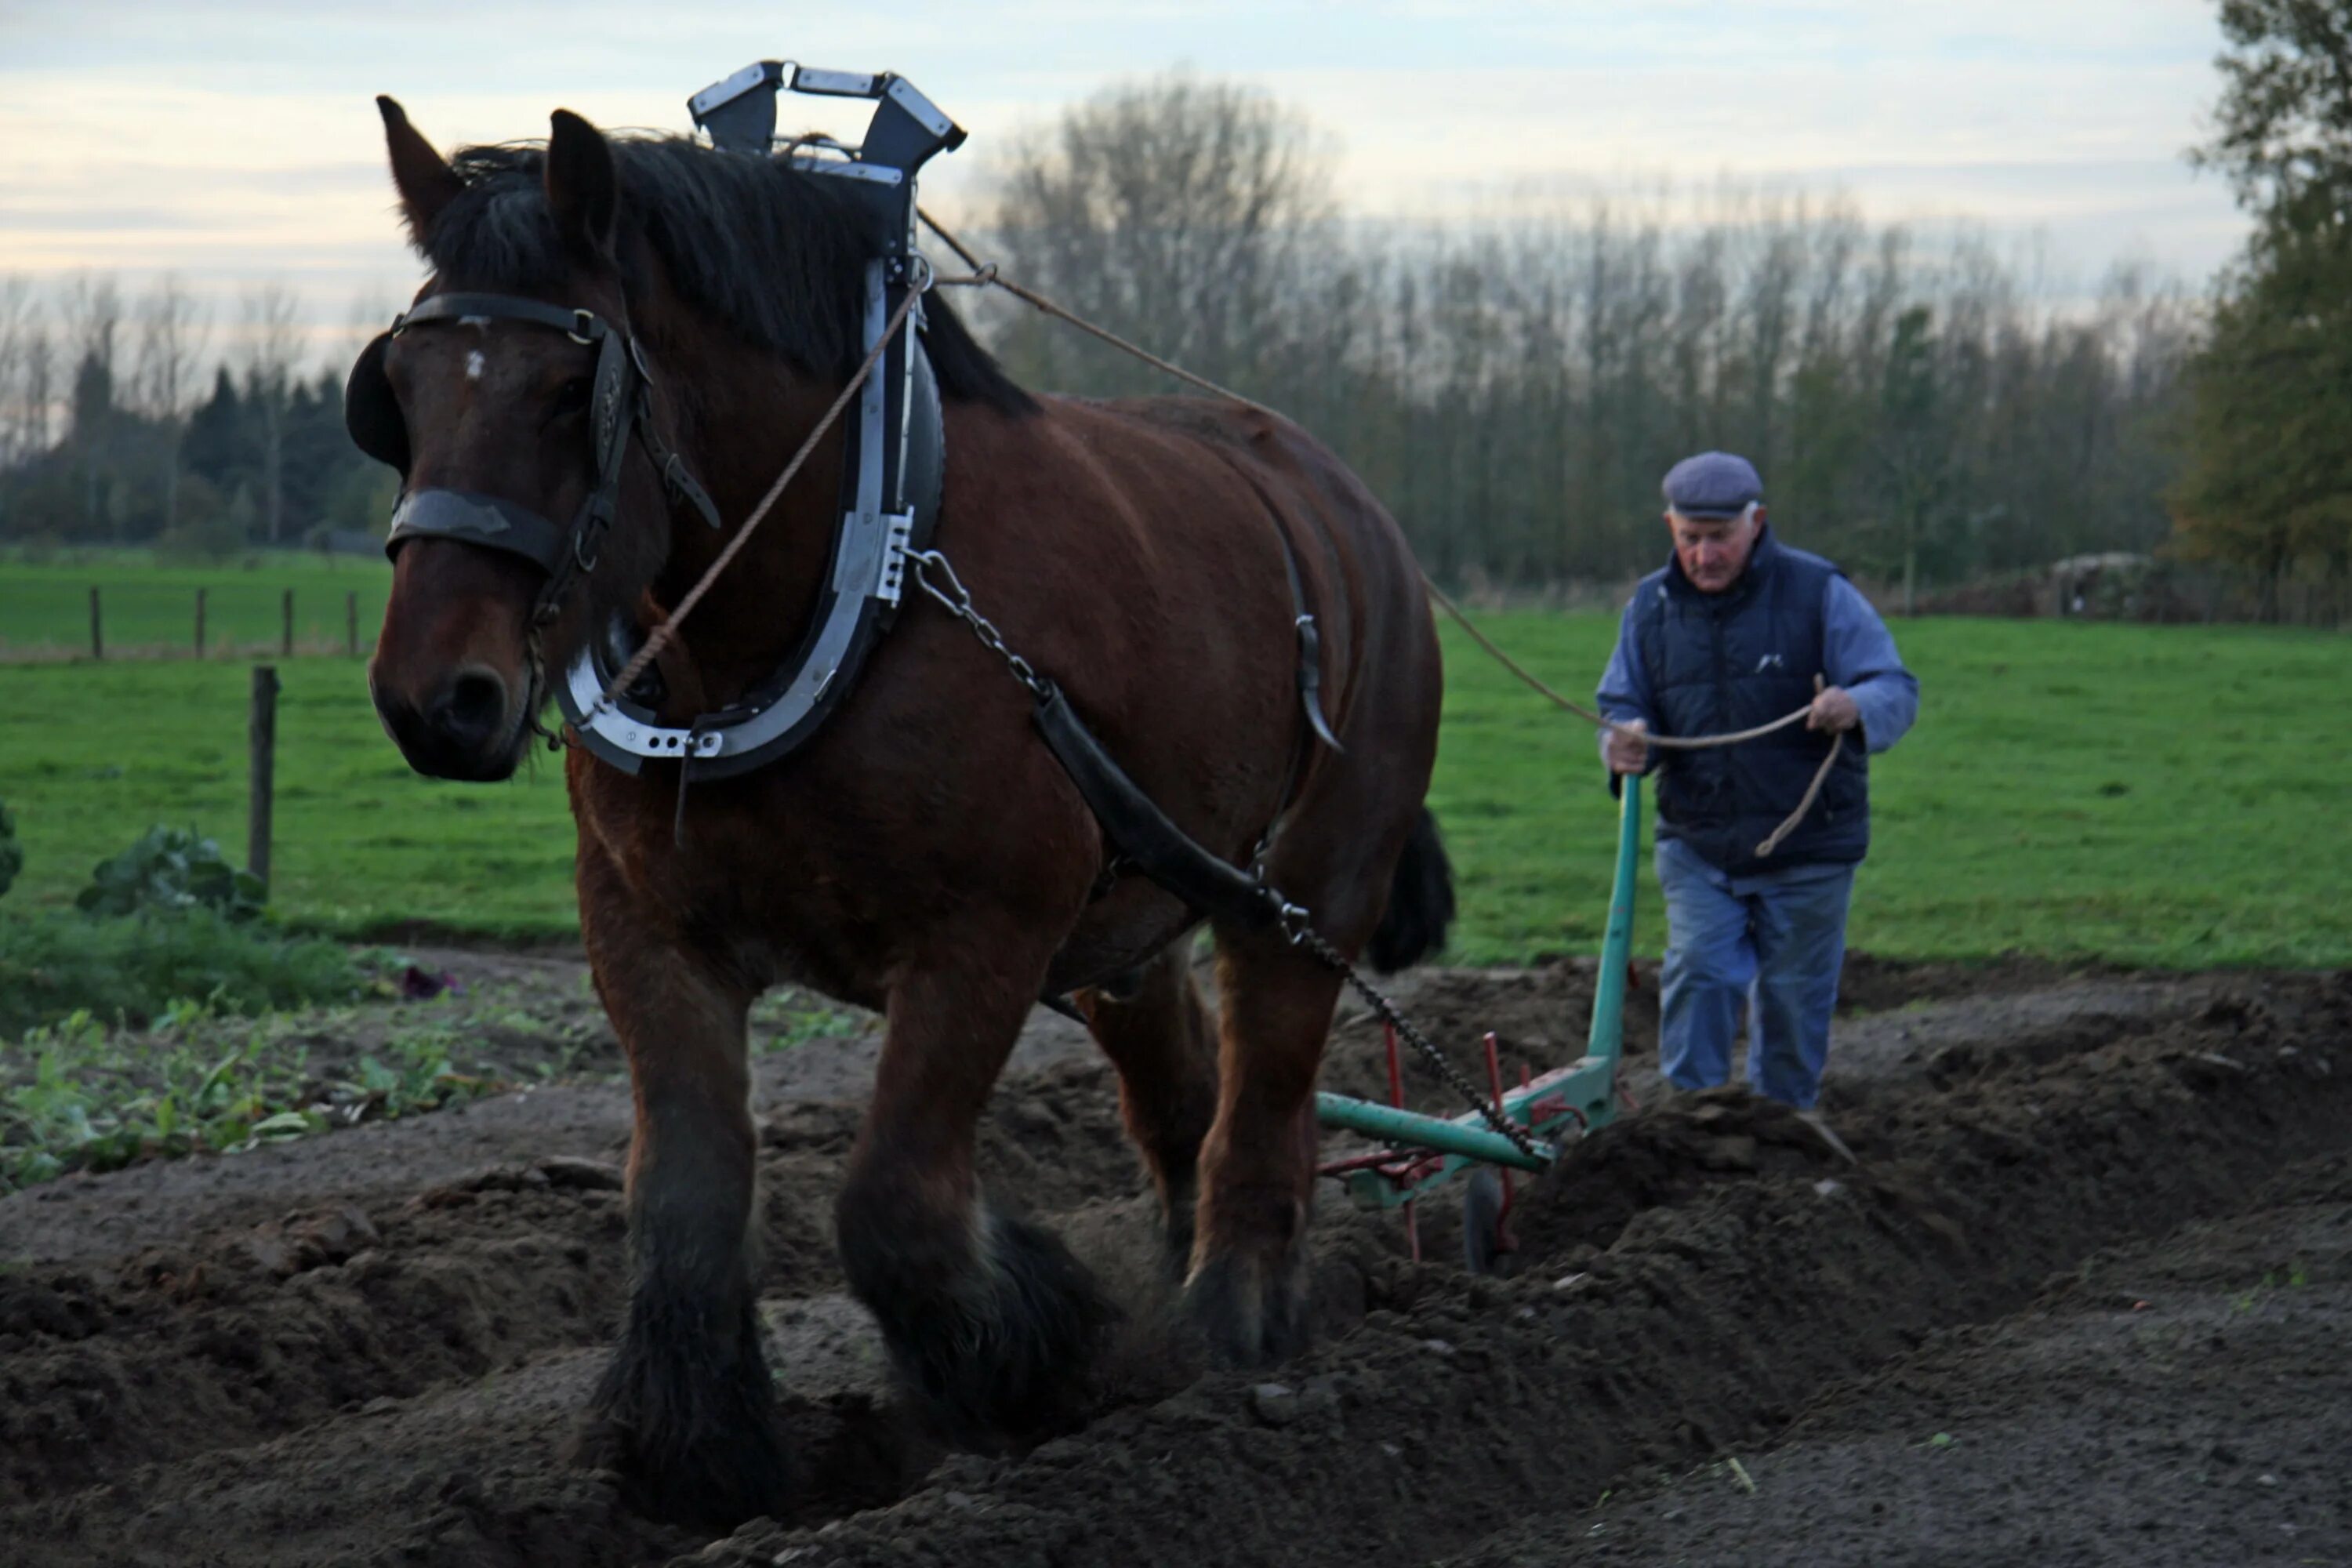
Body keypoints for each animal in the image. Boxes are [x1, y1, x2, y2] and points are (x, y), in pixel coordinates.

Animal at [353, 100, 1449, 1533]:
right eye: (401, 391)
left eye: (564, 393)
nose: (436, 699)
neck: (842, 573)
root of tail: (1350, 503)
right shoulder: (647, 933)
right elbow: (686, 1193)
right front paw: (698, 1452)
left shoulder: (981, 938)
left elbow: (893, 1203)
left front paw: (1032, 1358)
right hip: (1133, 920)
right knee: (1180, 1103)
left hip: (1309, 892)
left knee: (1262, 1104)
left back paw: (1236, 1331)